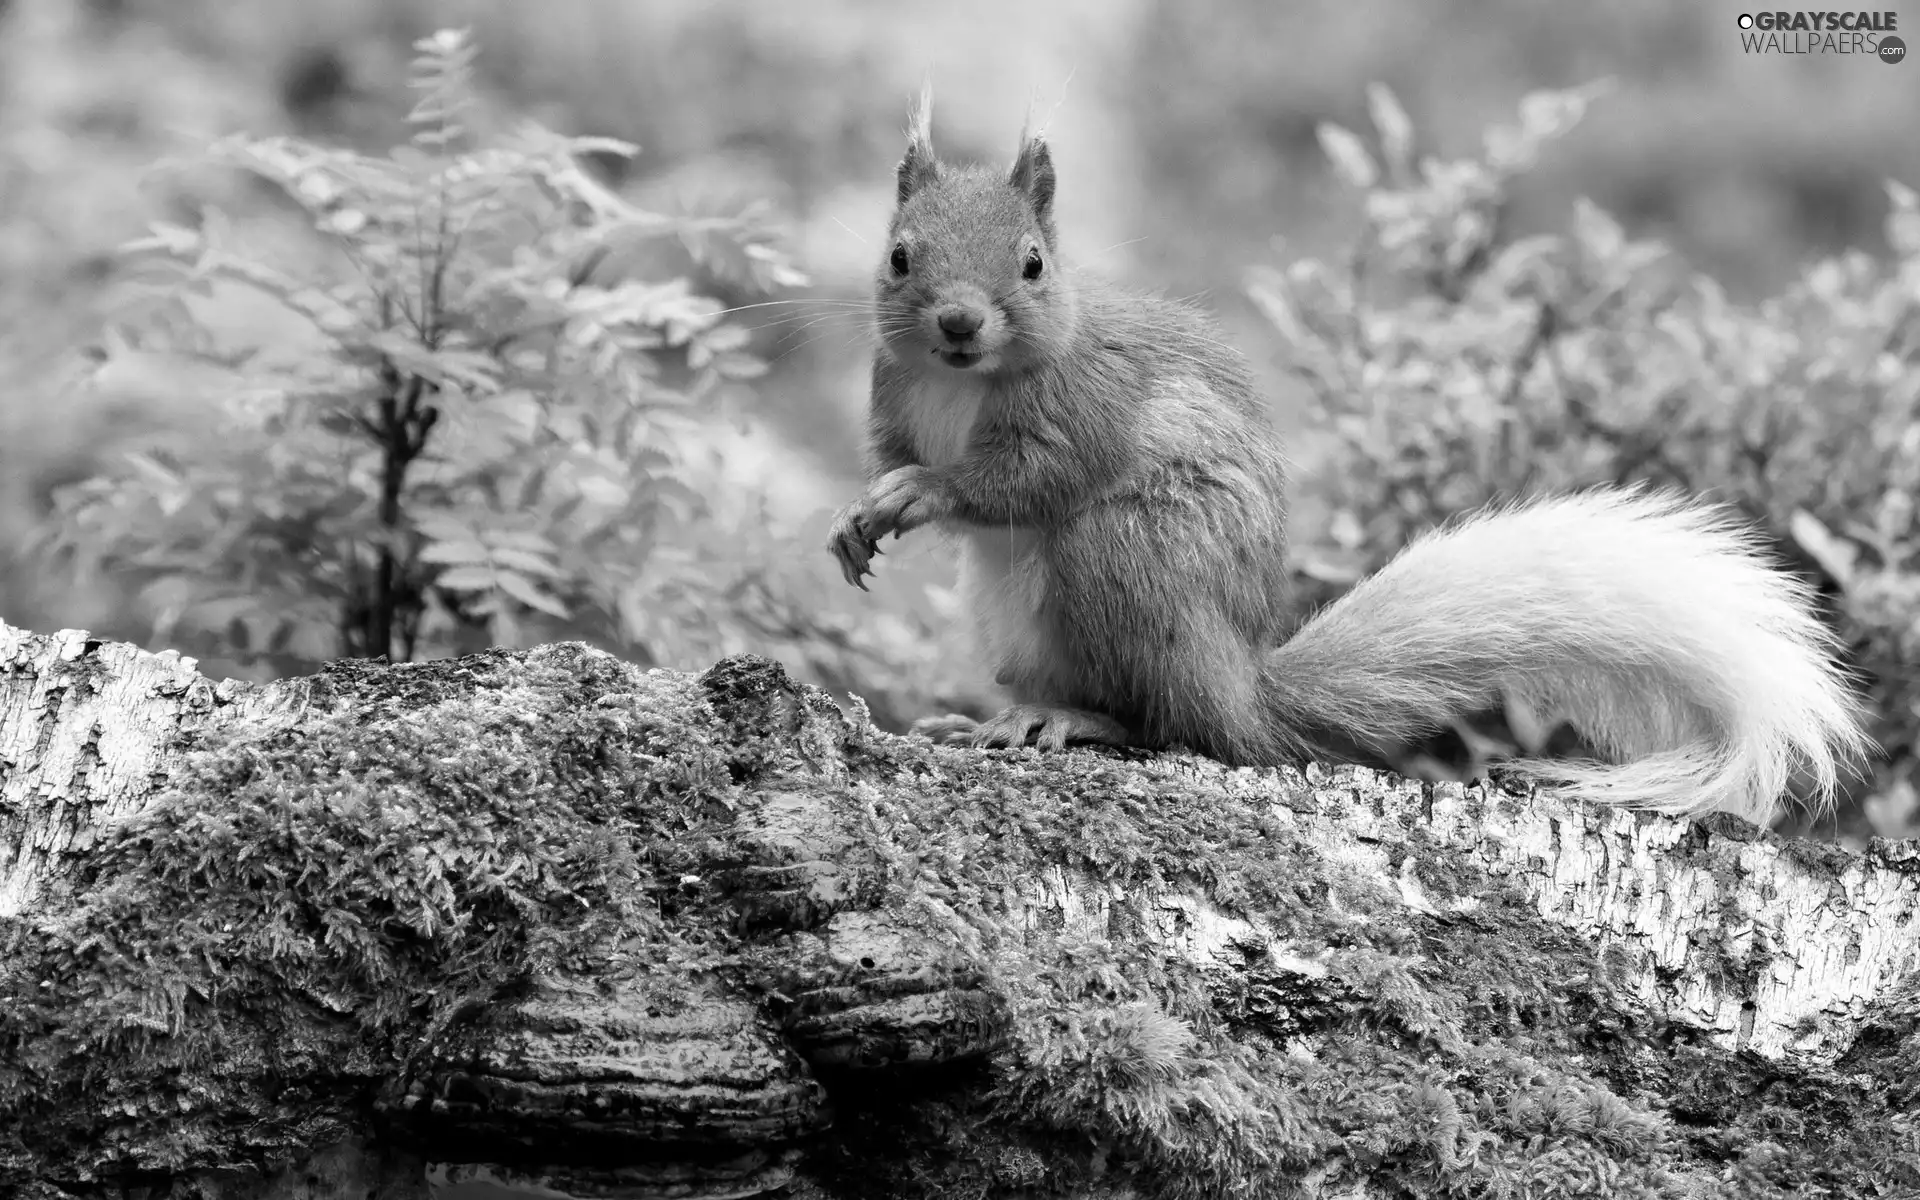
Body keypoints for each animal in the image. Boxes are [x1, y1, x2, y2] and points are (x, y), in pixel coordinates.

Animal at [829, 96, 1873, 821]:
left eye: (1034, 262)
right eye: (899, 256)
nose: (959, 323)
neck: (963, 383)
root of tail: (1241, 685)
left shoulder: (1087, 410)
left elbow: (1026, 480)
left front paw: (922, 491)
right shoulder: (890, 393)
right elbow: (891, 457)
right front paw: (857, 514)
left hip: (1126, 558)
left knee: (1169, 725)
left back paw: (1075, 721)